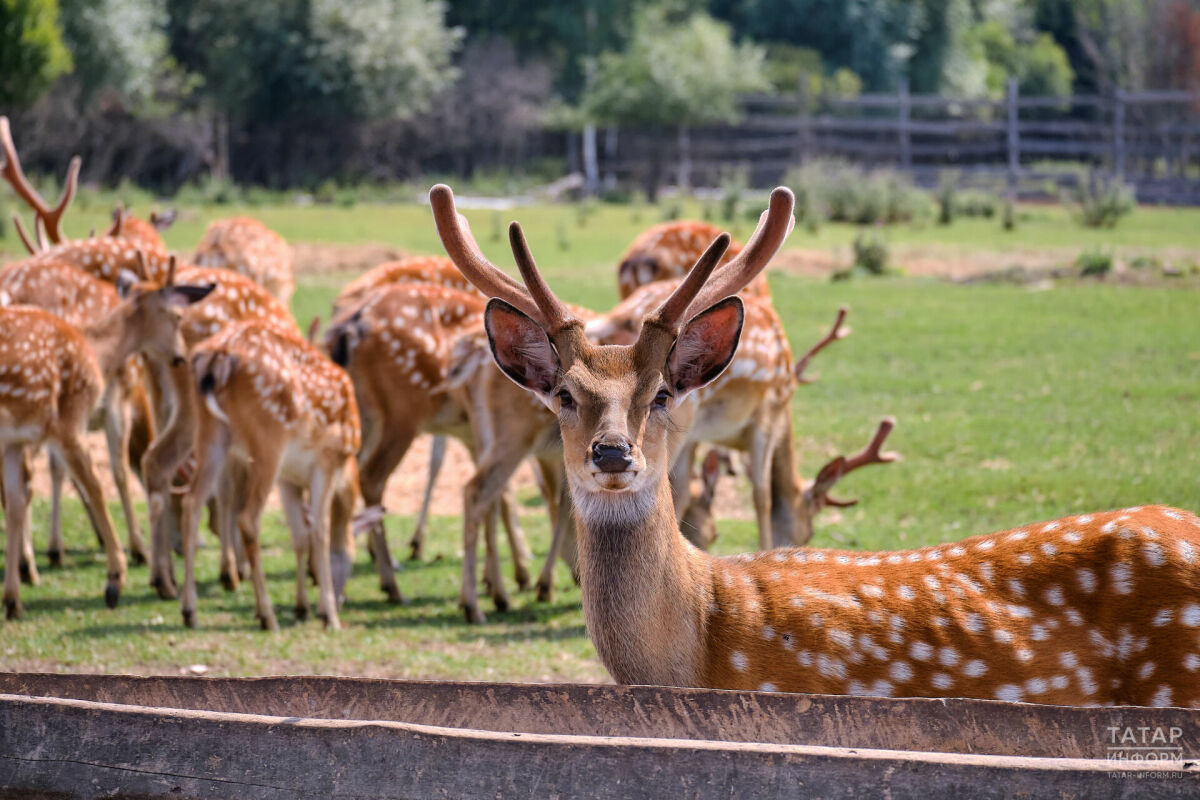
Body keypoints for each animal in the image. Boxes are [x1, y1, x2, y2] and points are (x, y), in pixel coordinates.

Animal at [0, 266, 213, 618]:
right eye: (178, 316)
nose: (182, 356)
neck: (96, 353)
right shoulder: (70, 421)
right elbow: (99, 487)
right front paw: (115, 579)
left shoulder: (16, 439)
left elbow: (17, 501)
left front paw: (13, 600)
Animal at [175, 321, 357, 633]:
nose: (343, 600)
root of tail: (217, 357)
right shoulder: (327, 461)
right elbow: (320, 531)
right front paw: (329, 616)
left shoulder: (289, 478)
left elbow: (300, 536)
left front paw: (303, 607)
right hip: (270, 435)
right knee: (248, 519)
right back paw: (267, 616)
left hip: (212, 432)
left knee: (192, 503)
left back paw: (189, 611)